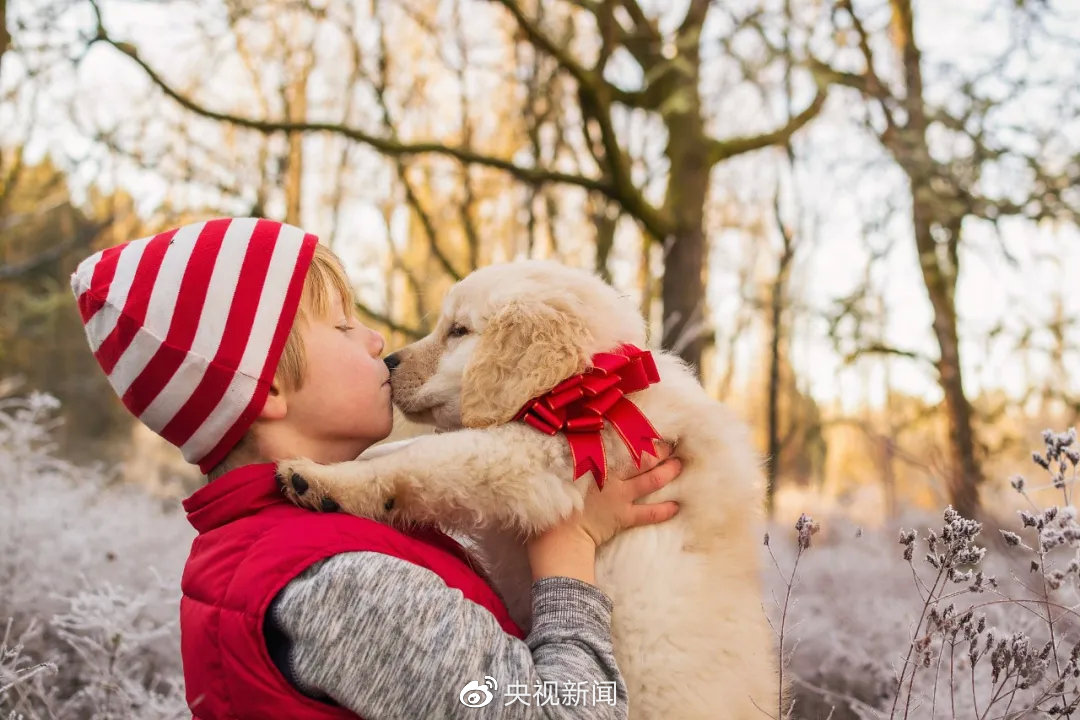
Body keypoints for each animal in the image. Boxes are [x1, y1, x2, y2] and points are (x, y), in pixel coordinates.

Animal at [278, 262, 777, 716]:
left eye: (458, 331)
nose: (386, 363)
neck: (588, 387)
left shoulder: (545, 459)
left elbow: (433, 456)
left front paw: (323, 479)